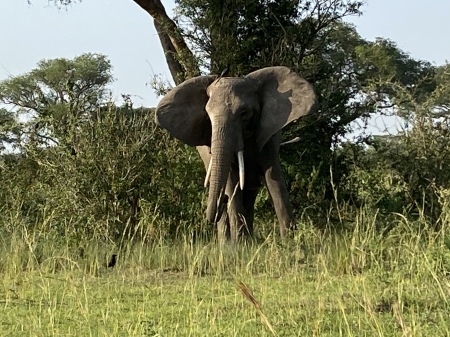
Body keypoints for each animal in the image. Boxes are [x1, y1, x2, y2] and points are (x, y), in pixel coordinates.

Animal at [155, 66, 316, 239]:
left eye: (244, 113)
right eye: (208, 116)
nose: (223, 200)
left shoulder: (268, 136)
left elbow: (274, 177)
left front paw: (291, 241)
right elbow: (231, 180)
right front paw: (240, 243)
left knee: (250, 190)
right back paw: (228, 241)